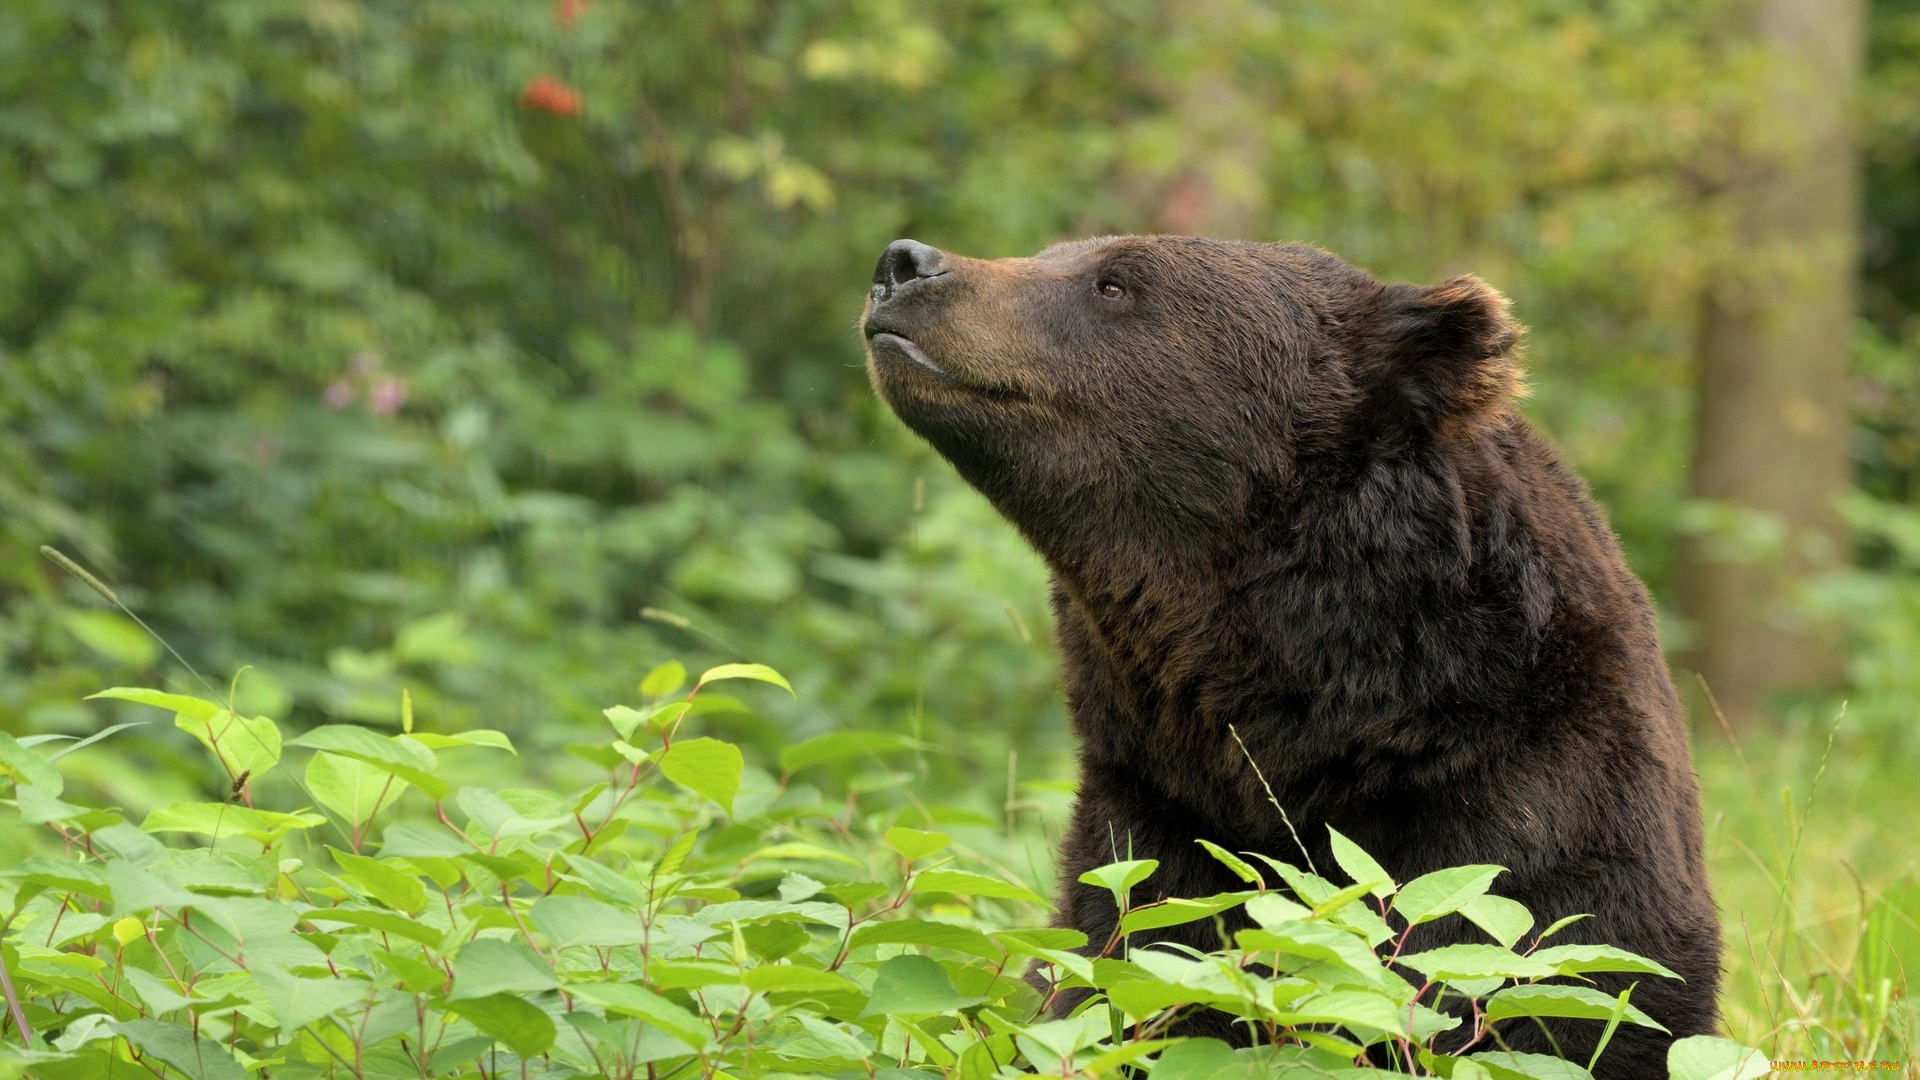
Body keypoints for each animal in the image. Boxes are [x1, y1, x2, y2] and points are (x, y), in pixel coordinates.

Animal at [864, 233, 1720, 1068]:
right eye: (1054, 253)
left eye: (1115, 282)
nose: (903, 263)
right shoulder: (1154, 806)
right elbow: (1129, 960)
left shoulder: (1529, 806)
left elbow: (1542, 976)